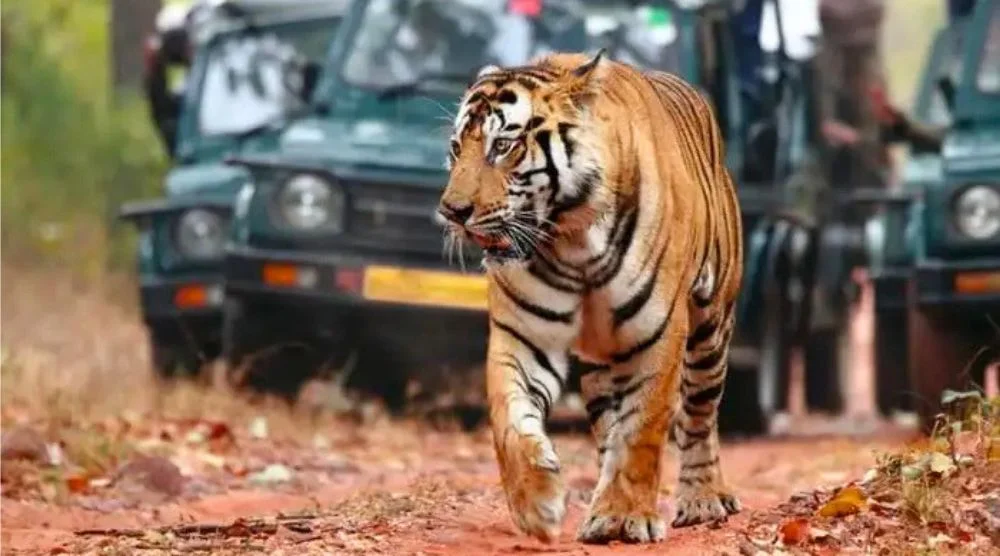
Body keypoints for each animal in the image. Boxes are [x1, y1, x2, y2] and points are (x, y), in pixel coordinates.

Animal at [437, 50, 744, 544]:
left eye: (502, 146)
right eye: (455, 148)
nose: (451, 211)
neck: (572, 239)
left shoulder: (658, 334)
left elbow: (643, 428)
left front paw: (628, 515)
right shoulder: (522, 336)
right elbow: (509, 419)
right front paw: (537, 505)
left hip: (711, 328)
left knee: (699, 415)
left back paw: (703, 499)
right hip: (604, 361)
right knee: (607, 425)